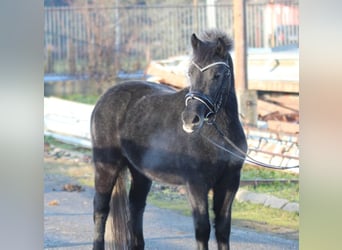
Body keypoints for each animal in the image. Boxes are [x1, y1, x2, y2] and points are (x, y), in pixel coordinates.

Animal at [90, 28, 246, 249]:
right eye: (190, 73)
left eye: (217, 75)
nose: (190, 119)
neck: (218, 137)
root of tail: (105, 97)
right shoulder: (196, 184)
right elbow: (202, 229)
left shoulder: (229, 182)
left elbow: (223, 229)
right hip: (106, 166)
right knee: (101, 210)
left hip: (140, 173)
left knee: (135, 207)